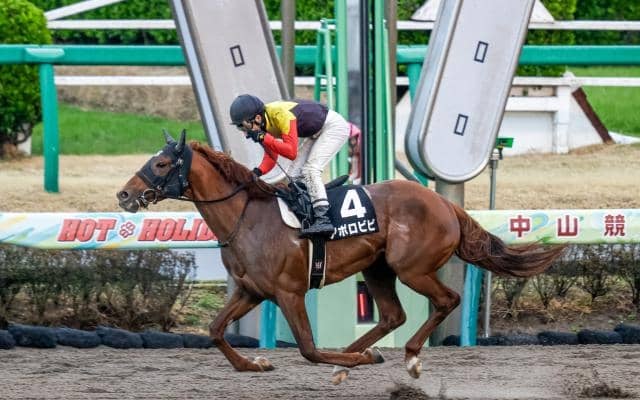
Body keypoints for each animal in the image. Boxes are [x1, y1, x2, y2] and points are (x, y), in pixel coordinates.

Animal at [117, 130, 565, 383]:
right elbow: (214, 330)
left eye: (161, 163)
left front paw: (357, 358)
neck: (247, 217)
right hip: (379, 269)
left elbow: (308, 350)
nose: (123, 194)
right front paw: (254, 365)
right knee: (392, 316)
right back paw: (355, 357)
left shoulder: (289, 292)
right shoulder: (251, 291)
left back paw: (404, 357)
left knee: (446, 300)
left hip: (411, 268)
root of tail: (445, 203)